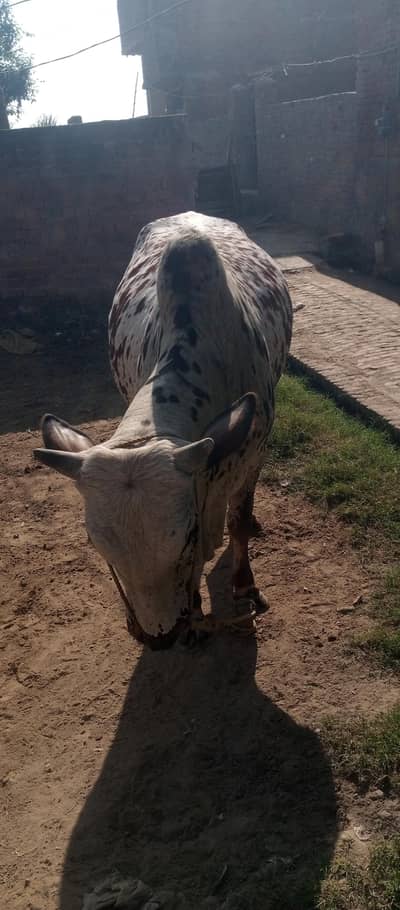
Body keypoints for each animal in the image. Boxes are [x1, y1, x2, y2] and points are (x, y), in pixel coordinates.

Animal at [34, 212, 293, 650]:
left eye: (187, 534)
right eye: (95, 543)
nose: (159, 635)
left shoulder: (255, 453)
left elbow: (238, 523)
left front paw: (245, 587)